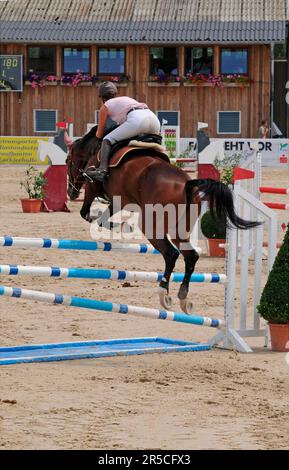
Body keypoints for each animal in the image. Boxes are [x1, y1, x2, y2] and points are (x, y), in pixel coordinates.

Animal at [66, 126, 260, 314]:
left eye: (68, 161)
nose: (71, 192)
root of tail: (186, 183)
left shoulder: (93, 188)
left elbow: (86, 214)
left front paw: (121, 225)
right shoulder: (118, 200)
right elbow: (103, 218)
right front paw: (122, 225)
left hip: (152, 226)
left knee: (171, 253)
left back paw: (164, 292)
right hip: (179, 229)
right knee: (191, 256)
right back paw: (183, 296)